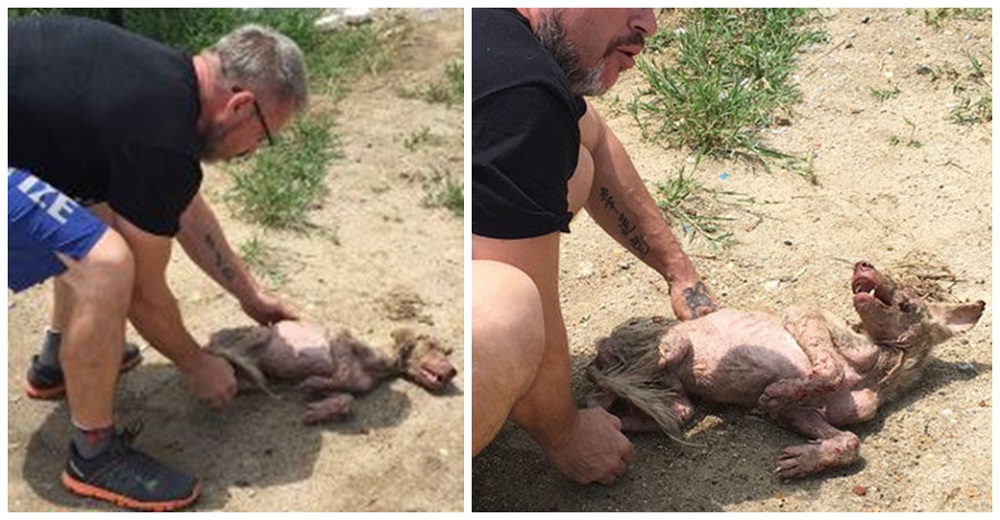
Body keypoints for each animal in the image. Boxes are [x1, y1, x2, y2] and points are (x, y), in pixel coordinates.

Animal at [207, 322, 458, 424]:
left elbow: (346, 398)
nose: (454, 371)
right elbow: (341, 367)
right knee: (231, 351)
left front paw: (318, 409)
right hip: (258, 335)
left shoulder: (356, 386)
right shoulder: (340, 338)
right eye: (432, 345)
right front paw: (314, 386)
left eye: (447, 351)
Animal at [584, 262, 984, 478]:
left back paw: (616, 423)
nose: (863, 264)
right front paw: (775, 392)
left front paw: (801, 460)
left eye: (907, 298)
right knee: (599, 384)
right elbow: (828, 370)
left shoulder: (802, 412)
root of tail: (608, 340)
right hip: (668, 345)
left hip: (676, 394)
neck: (880, 368)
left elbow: (849, 440)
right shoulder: (804, 313)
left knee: (669, 410)